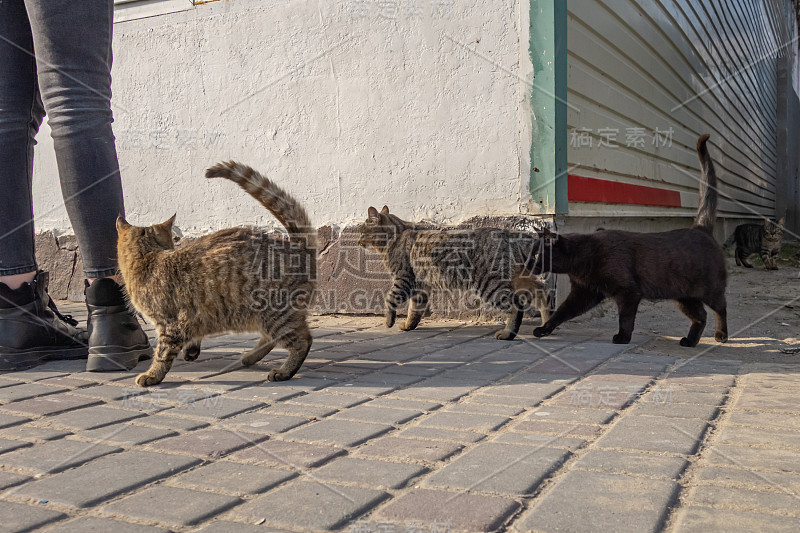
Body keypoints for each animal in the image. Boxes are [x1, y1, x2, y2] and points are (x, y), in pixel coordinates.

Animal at [116, 162, 316, 386]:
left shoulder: (169, 325)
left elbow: (162, 354)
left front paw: (153, 375)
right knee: (271, 339)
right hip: (265, 317)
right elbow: (193, 334)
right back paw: (250, 357)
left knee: (303, 341)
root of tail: (298, 245)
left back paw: (284, 371)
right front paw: (191, 350)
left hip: (275, 314)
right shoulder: (190, 318)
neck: (148, 256)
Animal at [358, 206, 552, 338]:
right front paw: (407, 325)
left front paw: (389, 321)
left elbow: (390, 299)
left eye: (362, 232)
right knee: (543, 293)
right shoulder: (420, 287)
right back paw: (546, 325)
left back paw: (507, 333)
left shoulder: (403, 279)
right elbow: (414, 310)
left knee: (516, 306)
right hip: (520, 280)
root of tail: (512, 235)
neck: (397, 234)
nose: (358, 242)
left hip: (490, 285)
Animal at [536, 134, 728, 344]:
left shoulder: (628, 292)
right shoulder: (584, 293)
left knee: (721, 308)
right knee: (701, 316)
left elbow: (626, 318)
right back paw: (689, 341)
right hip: (684, 297)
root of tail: (700, 228)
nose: (531, 265)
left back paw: (721, 335)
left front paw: (622, 337)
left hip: (710, 290)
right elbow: (561, 313)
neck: (582, 258)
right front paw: (544, 329)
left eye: (538, 255)